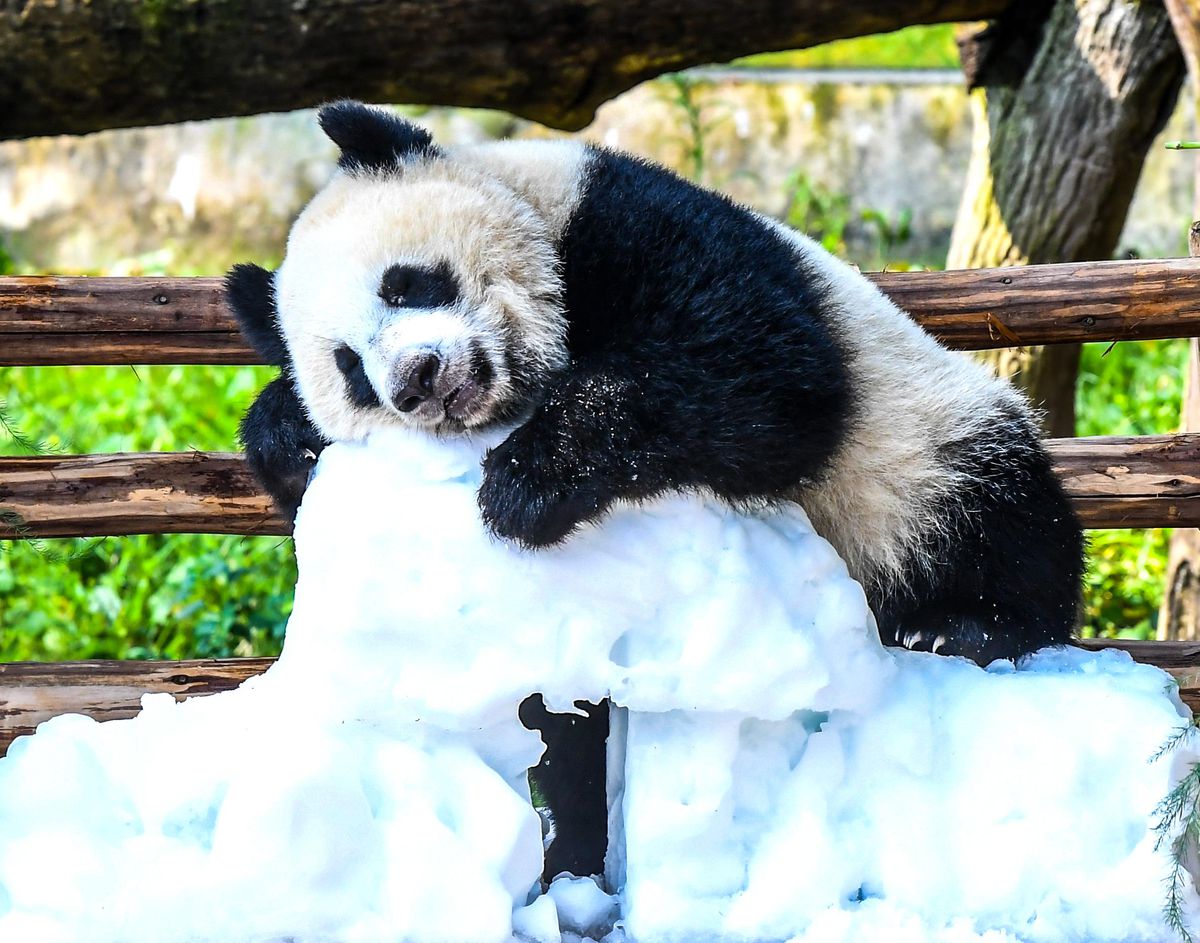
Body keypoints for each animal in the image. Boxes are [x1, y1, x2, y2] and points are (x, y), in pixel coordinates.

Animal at [226, 100, 1084, 879]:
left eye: (405, 284)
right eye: (348, 367)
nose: (416, 380)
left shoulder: (625, 222)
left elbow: (762, 374)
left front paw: (525, 480)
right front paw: (283, 426)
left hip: (923, 445)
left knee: (1001, 516)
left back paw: (965, 625)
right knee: (561, 731)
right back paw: (572, 850)